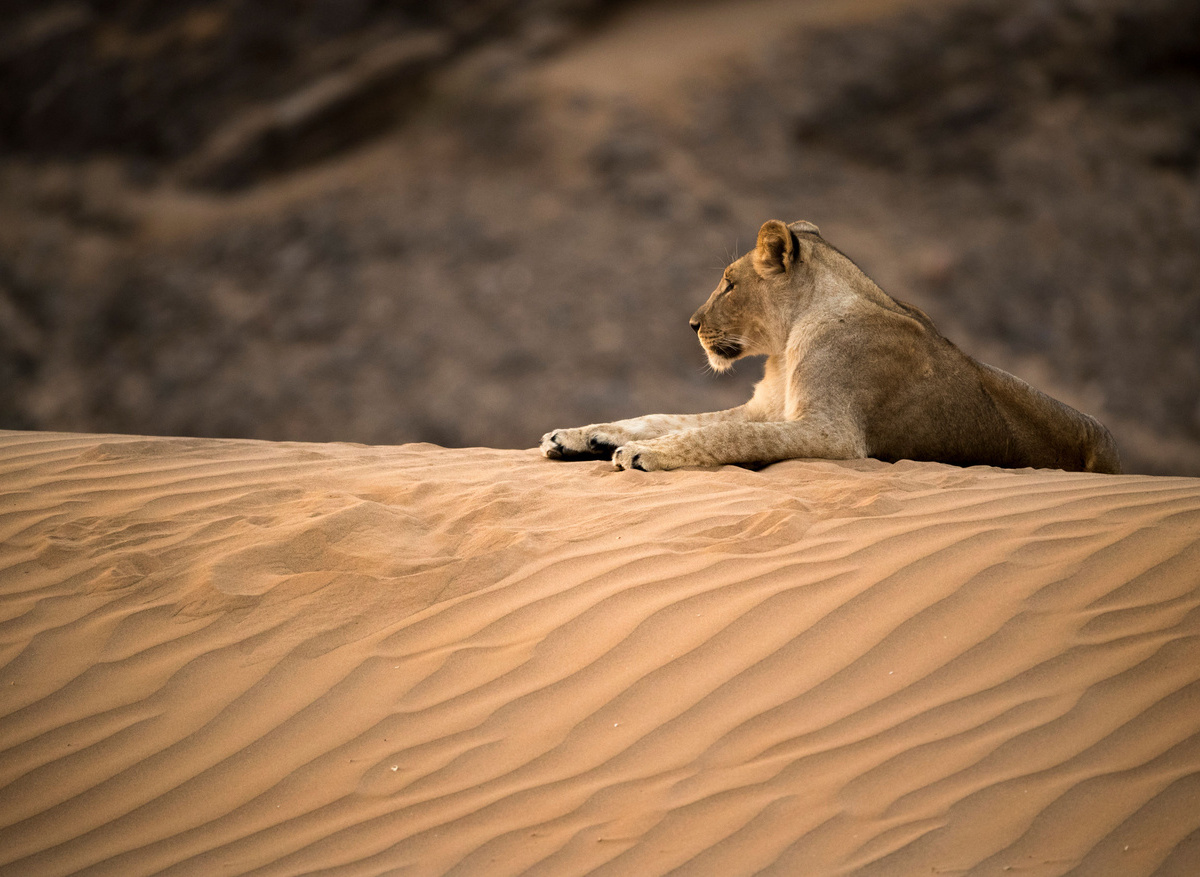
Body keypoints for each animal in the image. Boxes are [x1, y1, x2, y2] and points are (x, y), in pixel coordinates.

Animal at [540, 219, 1121, 474]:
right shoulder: (766, 407)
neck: (785, 345)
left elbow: (722, 435)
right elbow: (667, 416)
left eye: (729, 284)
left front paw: (647, 453)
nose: (691, 324)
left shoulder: (832, 432)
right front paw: (579, 436)